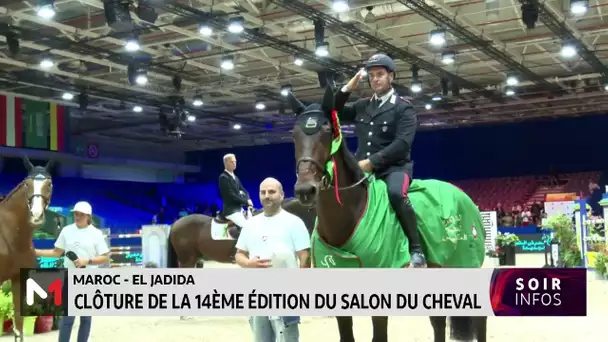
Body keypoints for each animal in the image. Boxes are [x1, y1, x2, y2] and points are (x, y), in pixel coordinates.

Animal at [288, 86, 486, 342]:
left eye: (326, 131)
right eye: (294, 134)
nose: (305, 190)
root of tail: (462, 195)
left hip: (467, 265)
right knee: (438, 323)